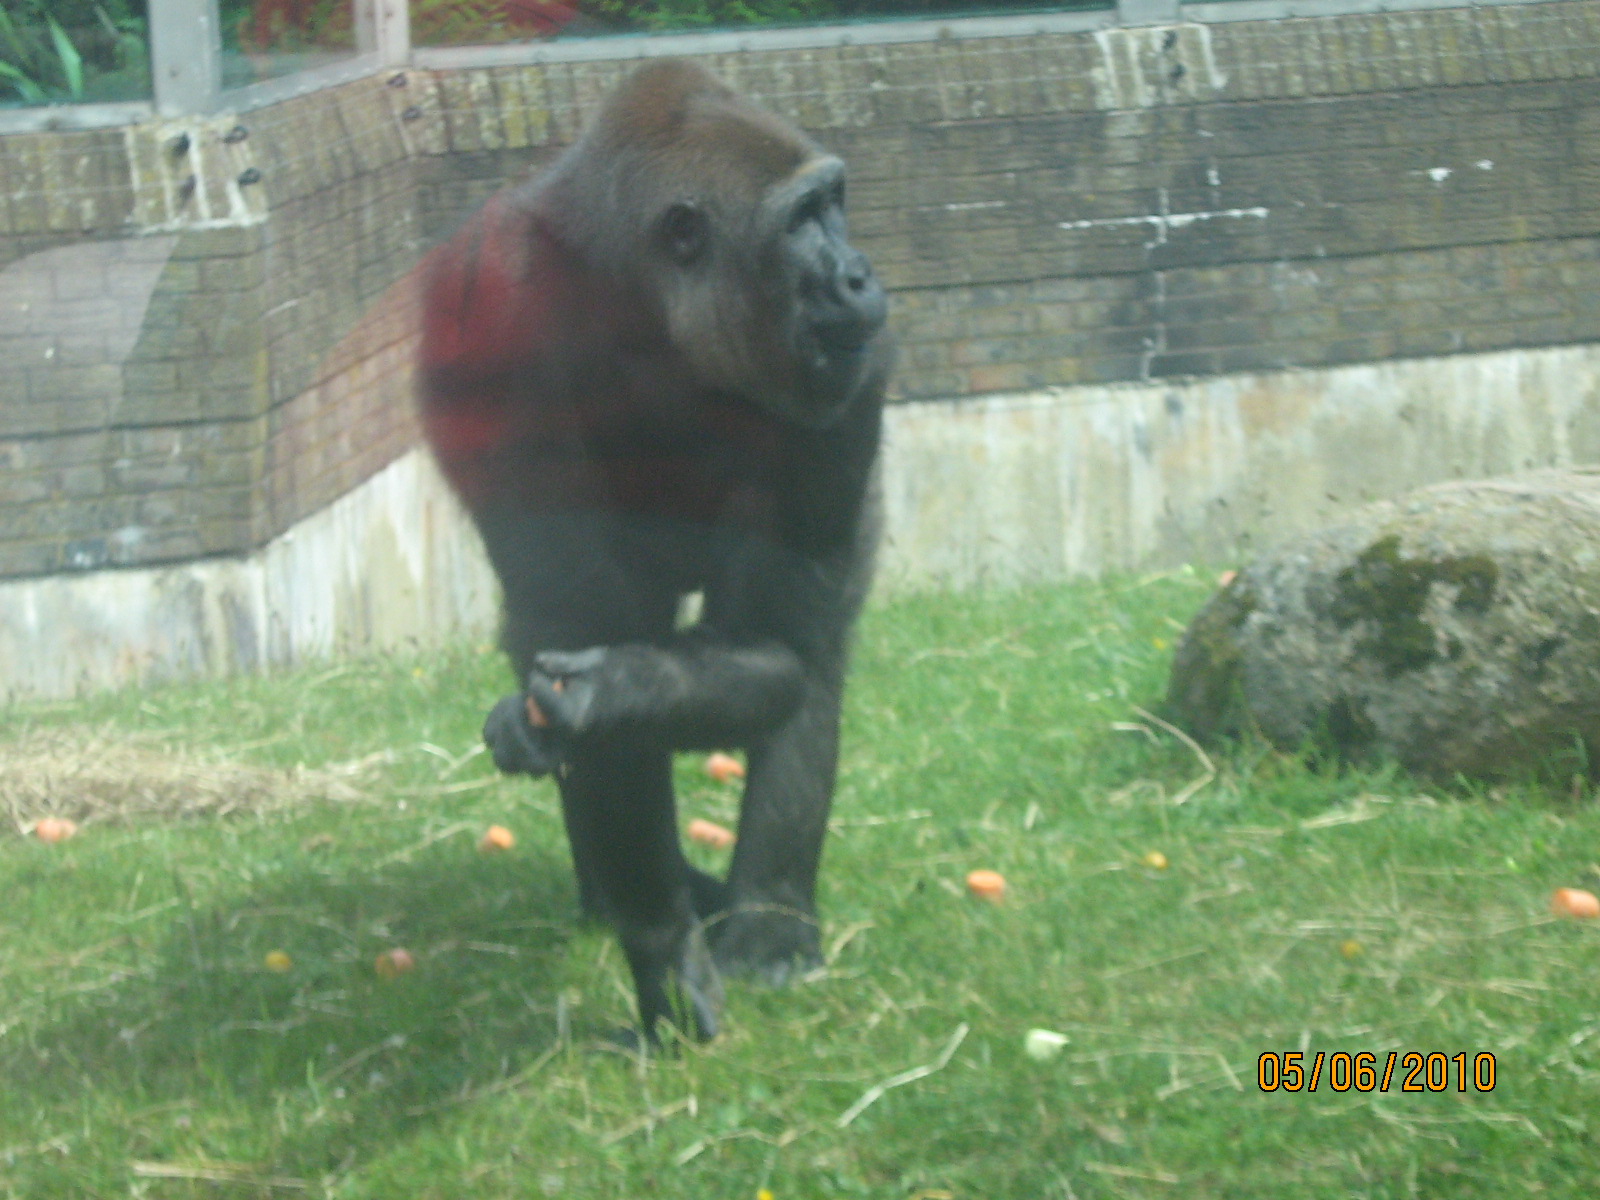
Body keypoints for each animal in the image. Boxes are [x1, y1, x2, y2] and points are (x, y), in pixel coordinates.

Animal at [418, 58, 891, 1044]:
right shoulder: (494, 325)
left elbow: (773, 649)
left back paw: (768, 921)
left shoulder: (857, 360)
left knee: (809, 657)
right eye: (802, 220)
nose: (860, 274)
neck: (639, 300)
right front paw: (665, 948)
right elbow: (574, 626)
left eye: (834, 204)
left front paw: (618, 691)